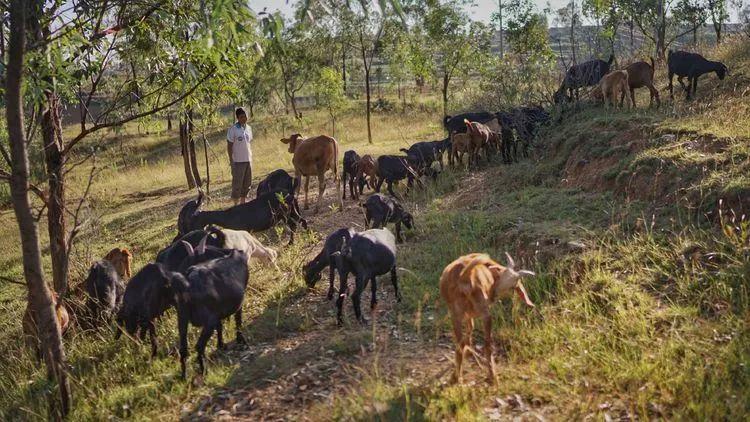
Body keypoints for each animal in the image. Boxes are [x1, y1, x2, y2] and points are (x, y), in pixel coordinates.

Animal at [173, 249, 250, 378]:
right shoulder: (237, 306)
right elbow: (238, 322)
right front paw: (242, 341)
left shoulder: (217, 314)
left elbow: (220, 327)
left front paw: (221, 345)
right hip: (208, 322)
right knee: (199, 346)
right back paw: (204, 370)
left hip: (182, 320)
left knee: (183, 349)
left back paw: (184, 376)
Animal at [438, 252, 536, 384]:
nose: (493, 295)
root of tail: (464, 276)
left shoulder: (467, 314)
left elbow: (469, 331)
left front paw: (468, 352)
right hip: (484, 313)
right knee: (487, 345)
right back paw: (492, 376)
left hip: (456, 314)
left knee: (460, 345)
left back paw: (457, 377)